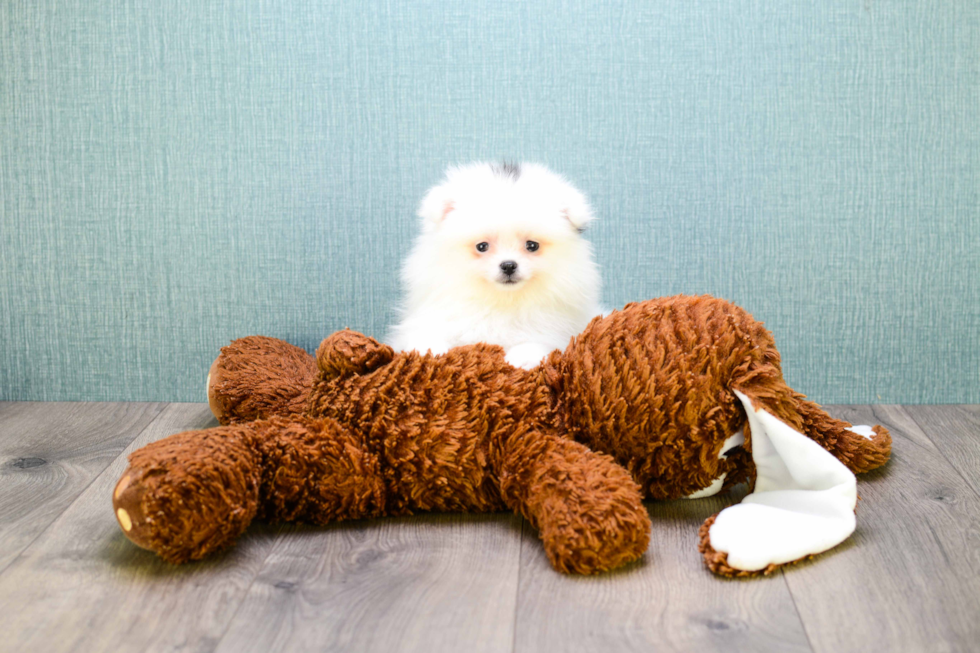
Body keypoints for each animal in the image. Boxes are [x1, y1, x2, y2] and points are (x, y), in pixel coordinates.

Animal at [390, 161, 604, 370]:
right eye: (482, 246)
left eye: (532, 245)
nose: (508, 265)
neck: (501, 300)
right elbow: (426, 335)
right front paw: (430, 349)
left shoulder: (557, 329)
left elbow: (540, 342)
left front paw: (523, 357)